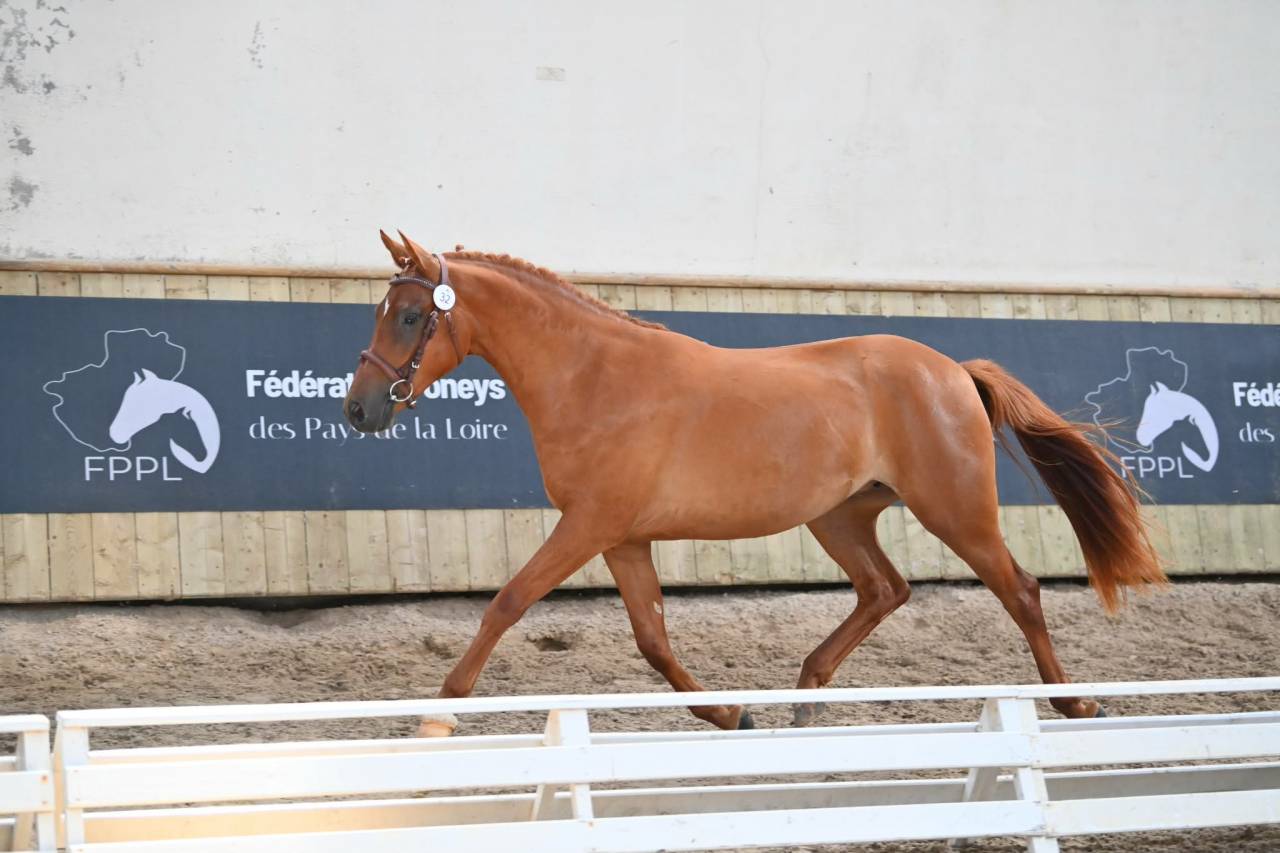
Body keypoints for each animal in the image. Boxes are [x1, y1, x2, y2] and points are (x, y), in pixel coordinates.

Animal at [344, 230, 1166, 734]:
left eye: (411, 315)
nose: (357, 409)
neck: (595, 377)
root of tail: (952, 369)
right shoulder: (621, 537)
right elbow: (652, 640)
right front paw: (731, 715)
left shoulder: (587, 526)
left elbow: (507, 604)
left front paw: (439, 715)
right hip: (839, 516)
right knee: (885, 589)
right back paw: (803, 694)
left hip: (955, 509)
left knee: (1017, 590)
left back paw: (1077, 704)